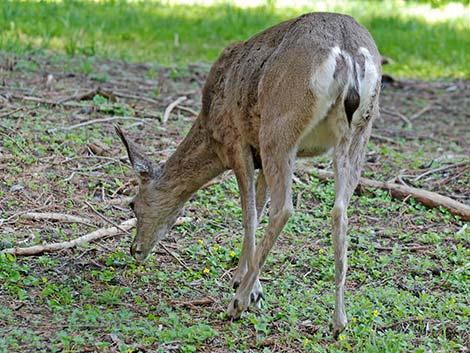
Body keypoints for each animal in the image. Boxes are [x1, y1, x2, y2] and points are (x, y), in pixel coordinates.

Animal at [114, 12, 382, 336]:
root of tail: (349, 53)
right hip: (357, 133)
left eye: (132, 204)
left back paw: (236, 305)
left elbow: (250, 214)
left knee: (284, 209)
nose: (135, 250)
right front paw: (246, 280)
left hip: (279, 127)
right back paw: (339, 322)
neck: (209, 130)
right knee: (340, 210)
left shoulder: (237, 142)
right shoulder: (258, 158)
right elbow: (258, 207)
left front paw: (248, 287)